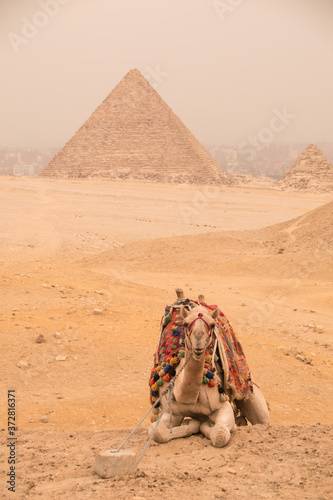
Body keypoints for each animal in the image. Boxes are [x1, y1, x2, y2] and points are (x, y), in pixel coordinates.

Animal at [149, 290, 268, 450]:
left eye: (212, 324)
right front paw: (191, 423)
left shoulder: (222, 407)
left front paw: (208, 424)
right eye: (185, 323)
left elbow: (220, 434)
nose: (198, 340)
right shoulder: (170, 412)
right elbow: (156, 432)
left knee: (262, 418)